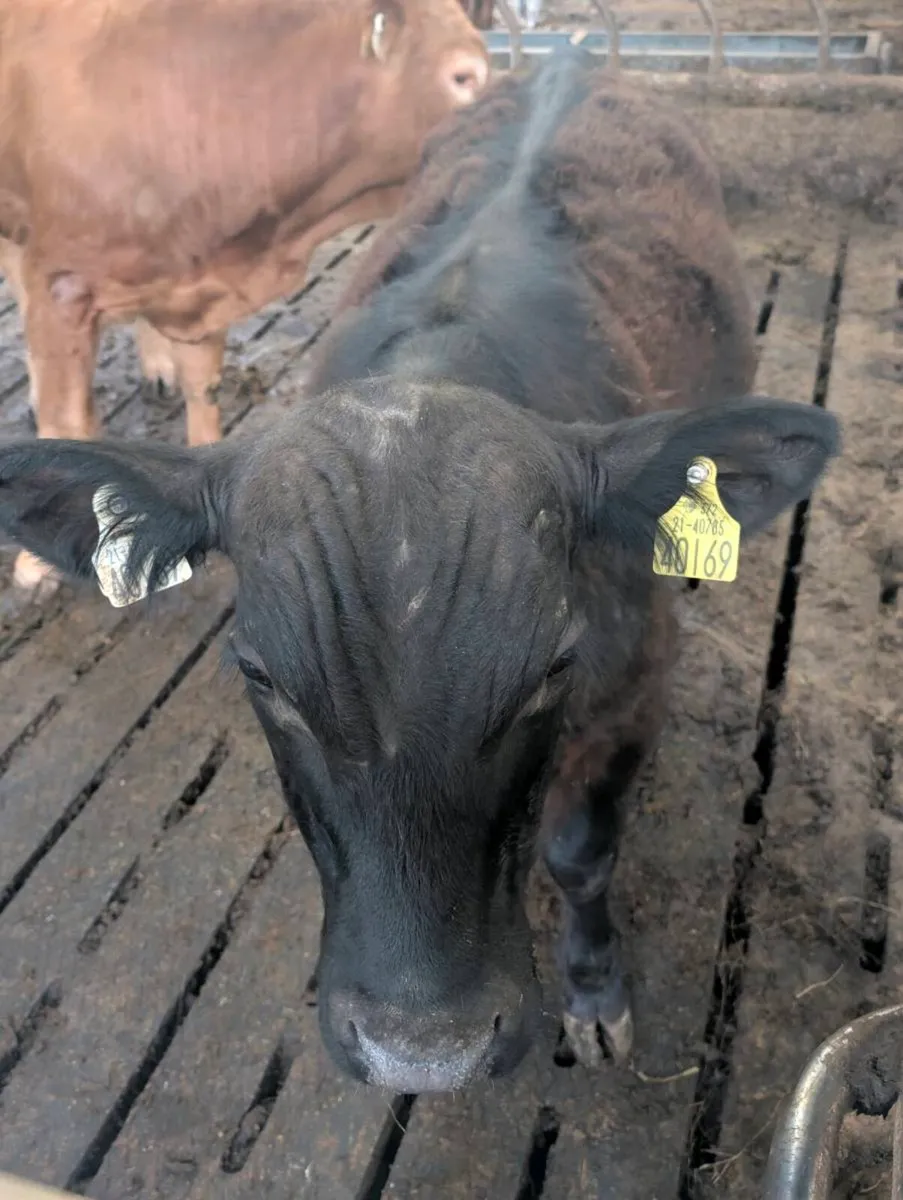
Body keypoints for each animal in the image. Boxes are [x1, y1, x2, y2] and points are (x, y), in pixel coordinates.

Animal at [0, 0, 490, 589]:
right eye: (464, 76)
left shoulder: (201, 287)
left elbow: (203, 386)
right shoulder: (57, 282)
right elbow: (61, 413)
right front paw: (32, 564)